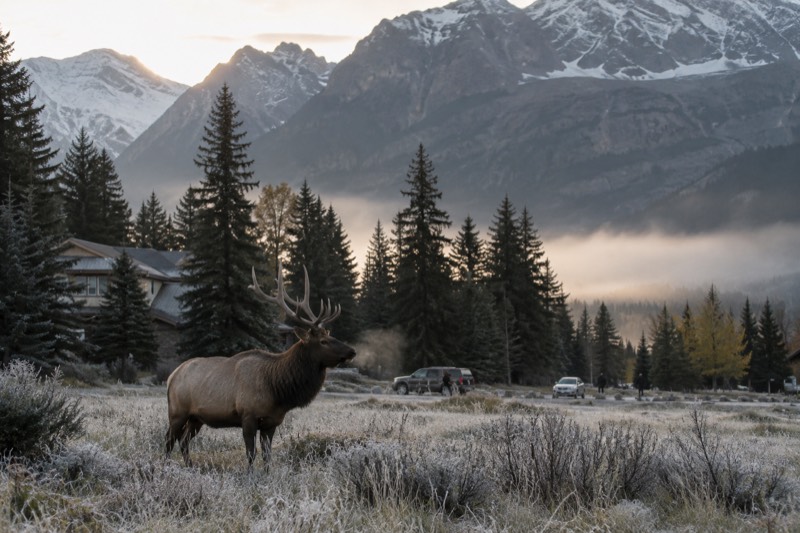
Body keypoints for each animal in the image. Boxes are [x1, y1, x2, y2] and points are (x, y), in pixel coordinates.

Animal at [165, 262, 356, 469]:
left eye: (330, 335)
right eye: (323, 341)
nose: (352, 351)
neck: (278, 391)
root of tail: (171, 376)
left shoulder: (271, 422)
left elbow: (267, 455)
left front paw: (266, 473)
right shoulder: (248, 416)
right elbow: (251, 453)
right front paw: (250, 474)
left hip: (196, 418)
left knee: (183, 440)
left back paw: (190, 466)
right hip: (177, 411)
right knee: (169, 439)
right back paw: (165, 466)